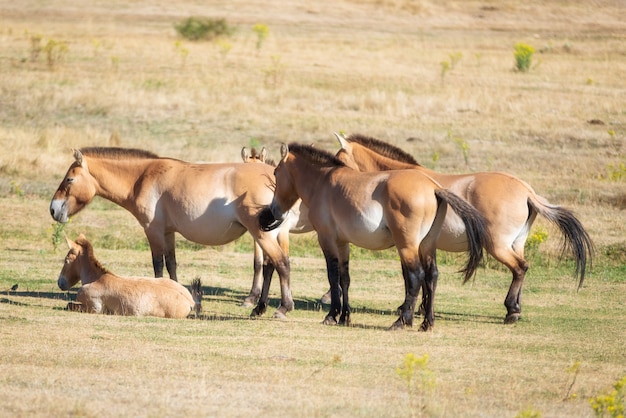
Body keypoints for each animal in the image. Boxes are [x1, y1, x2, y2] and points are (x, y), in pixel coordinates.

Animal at [57, 233, 201, 318]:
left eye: (66, 260)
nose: (60, 283)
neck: (97, 278)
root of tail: (190, 301)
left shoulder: (94, 308)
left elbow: (69, 304)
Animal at [258, 143, 488, 330]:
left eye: (276, 172)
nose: (273, 211)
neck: (322, 183)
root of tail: (433, 188)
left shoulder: (327, 239)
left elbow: (333, 276)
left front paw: (331, 316)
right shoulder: (342, 243)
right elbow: (345, 278)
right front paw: (345, 317)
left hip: (407, 246)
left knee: (416, 276)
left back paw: (401, 322)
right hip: (427, 245)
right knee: (432, 276)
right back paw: (426, 323)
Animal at [334, 134, 592, 324]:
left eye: (339, 159)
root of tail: (526, 191)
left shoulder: (410, 243)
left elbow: (411, 275)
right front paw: (422, 308)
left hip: (498, 245)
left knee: (519, 268)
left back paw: (511, 311)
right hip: (516, 243)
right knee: (523, 267)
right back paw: (516, 308)